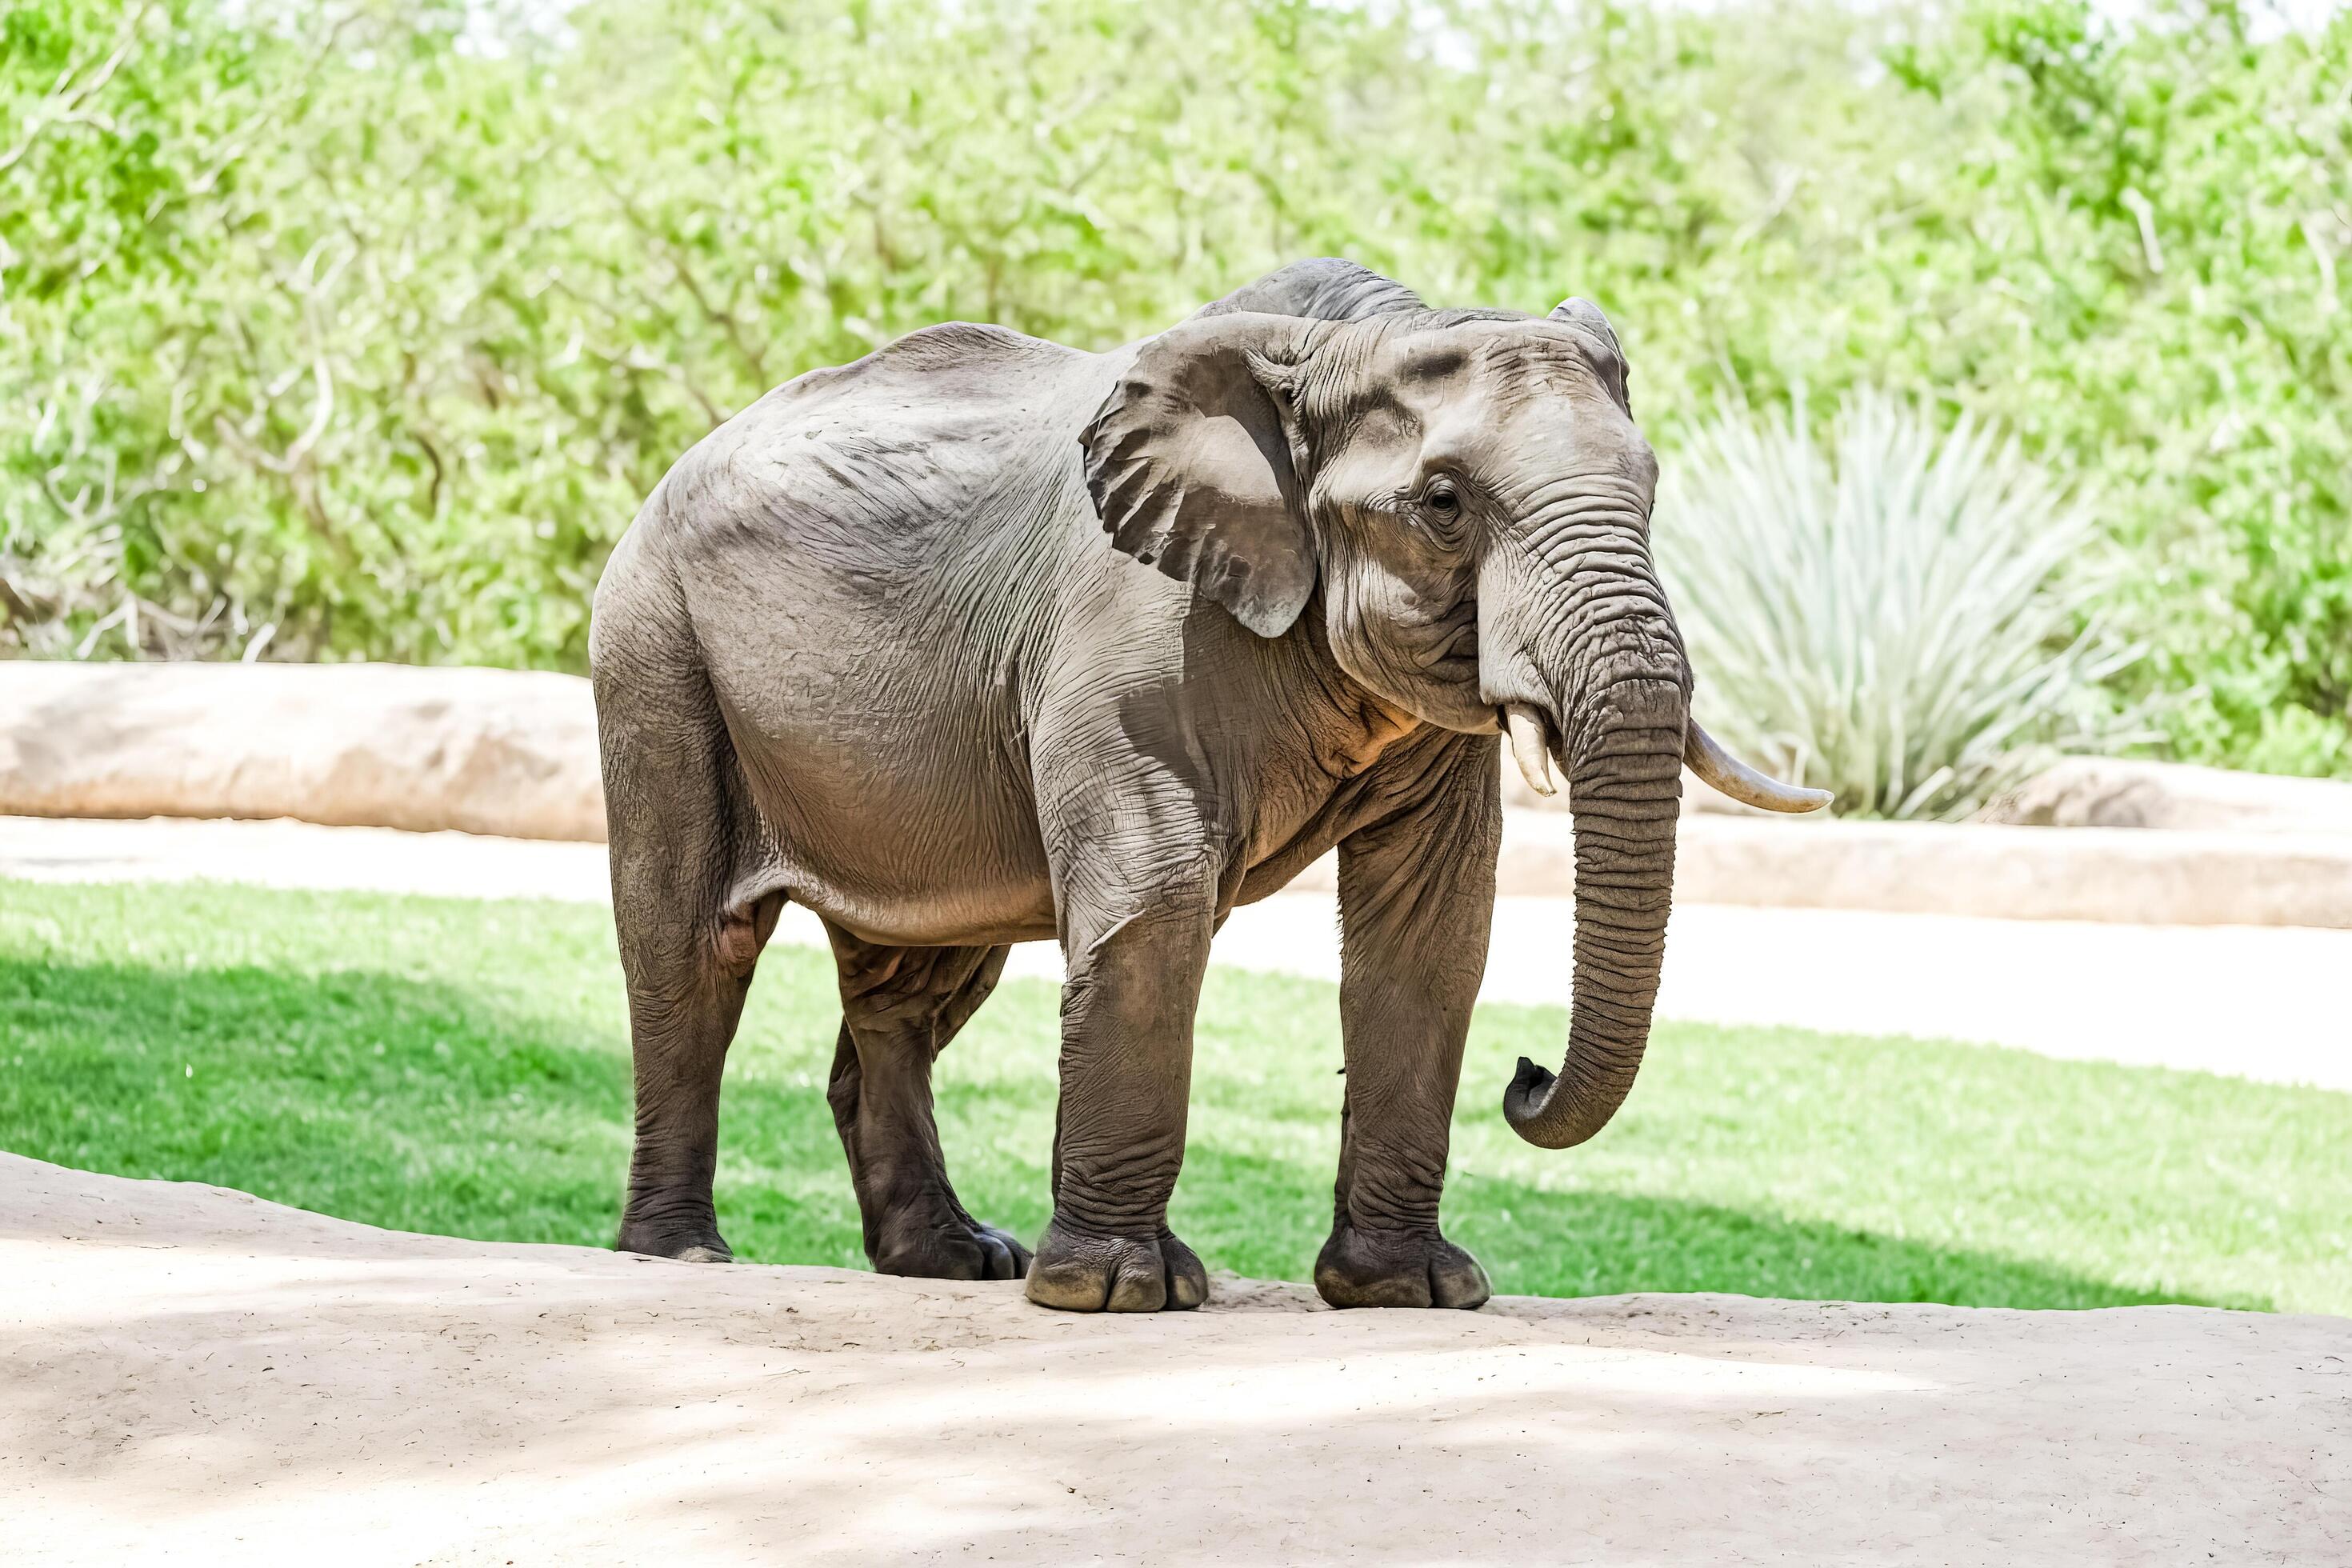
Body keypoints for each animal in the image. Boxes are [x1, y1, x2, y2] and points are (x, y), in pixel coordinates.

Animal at [583, 257, 1815, 1316]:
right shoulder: (1130, 627)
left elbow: (1429, 927)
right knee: (690, 951)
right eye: (1445, 504)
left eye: (1648, 492)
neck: (1354, 339)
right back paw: (682, 1256)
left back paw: (956, 1261)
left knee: (915, 984)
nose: (1526, 1074)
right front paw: (1119, 1292)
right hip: (654, 647)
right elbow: (1155, 897)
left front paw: (1413, 1291)